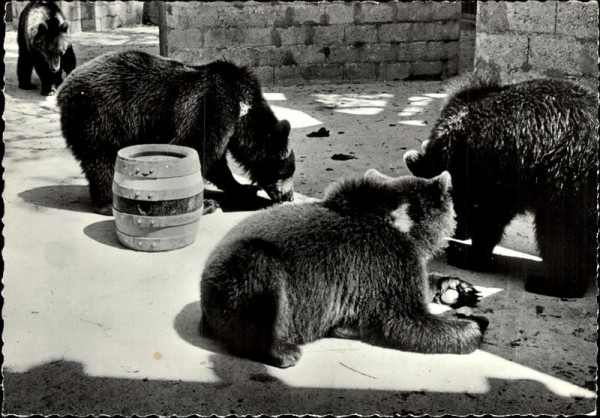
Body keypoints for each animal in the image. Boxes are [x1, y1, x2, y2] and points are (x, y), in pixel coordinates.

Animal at [406, 75, 596, 298]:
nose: (457, 233)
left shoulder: (491, 169)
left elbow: (487, 217)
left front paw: (468, 254)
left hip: (566, 178)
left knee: (560, 230)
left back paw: (549, 282)